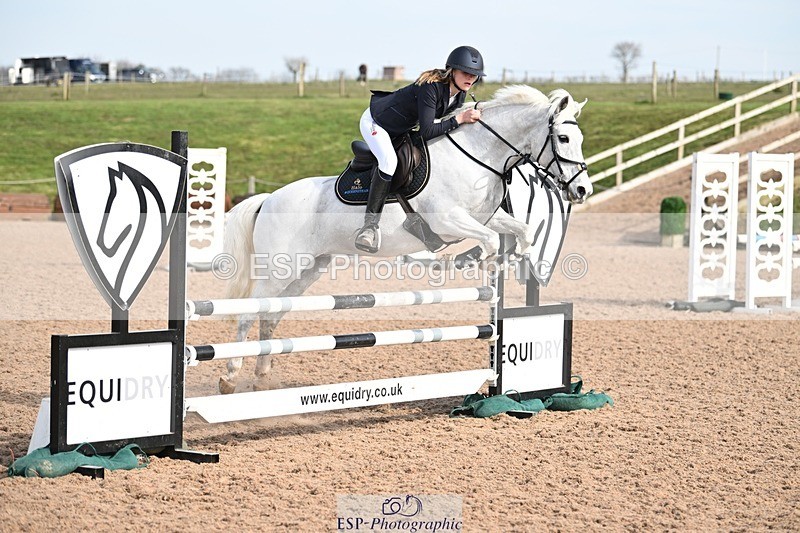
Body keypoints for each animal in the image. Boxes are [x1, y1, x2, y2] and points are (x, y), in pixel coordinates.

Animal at [218, 85, 592, 393]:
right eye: (563, 138)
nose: (582, 190)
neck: (478, 155)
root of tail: (268, 198)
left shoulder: (485, 216)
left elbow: (522, 233)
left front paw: (503, 260)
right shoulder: (448, 219)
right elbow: (487, 242)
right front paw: (462, 262)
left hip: (308, 268)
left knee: (270, 316)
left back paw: (262, 376)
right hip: (279, 267)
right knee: (249, 313)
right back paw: (230, 376)